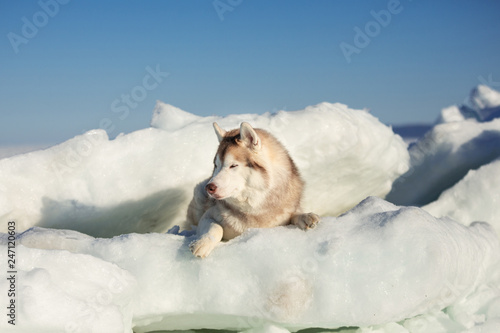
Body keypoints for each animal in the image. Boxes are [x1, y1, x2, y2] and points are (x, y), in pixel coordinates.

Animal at [186, 121, 318, 256]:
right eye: (216, 165)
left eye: (233, 165)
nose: (209, 187)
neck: (253, 205)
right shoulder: (207, 216)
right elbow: (216, 228)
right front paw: (202, 243)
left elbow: (294, 214)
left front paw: (306, 217)